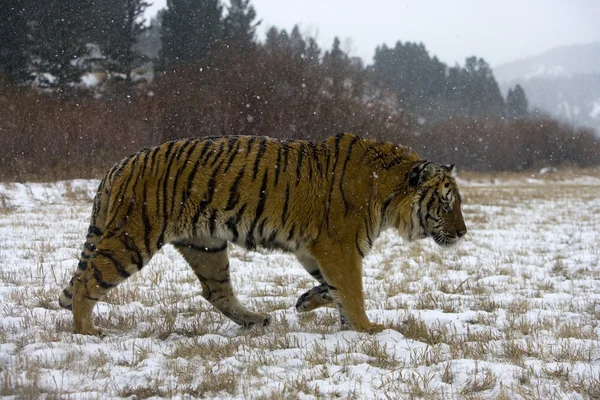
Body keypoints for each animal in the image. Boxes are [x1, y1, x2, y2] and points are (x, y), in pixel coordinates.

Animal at [58, 133, 466, 336]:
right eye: (447, 204)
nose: (463, 232)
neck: (387, 189)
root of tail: (118, 165)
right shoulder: (338, 247)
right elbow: (353, 291)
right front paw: (368, 328)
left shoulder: (314, 250)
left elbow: (332, 288)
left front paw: (309, 303)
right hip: (132, 238)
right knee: (87, 281)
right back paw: (87, 331)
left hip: (206, 245)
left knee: (216, 291)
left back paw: (255, 320)